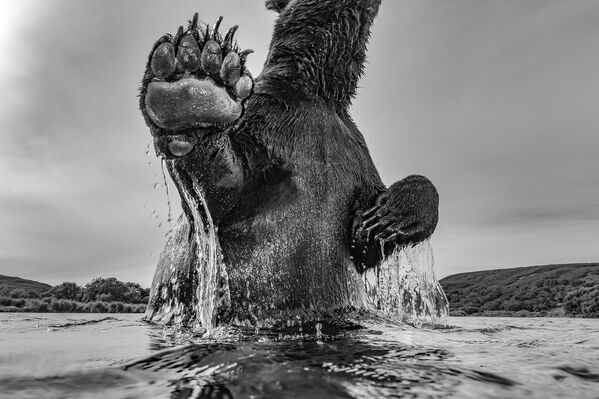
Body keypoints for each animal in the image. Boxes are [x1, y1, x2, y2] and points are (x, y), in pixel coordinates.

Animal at [141, 0, 440, 328]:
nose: (383, 220)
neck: (318, 89)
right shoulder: (264, 120)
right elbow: (219, 189)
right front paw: (197, 83)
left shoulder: (356, 157)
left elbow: (364, 243)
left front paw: (386, 219)